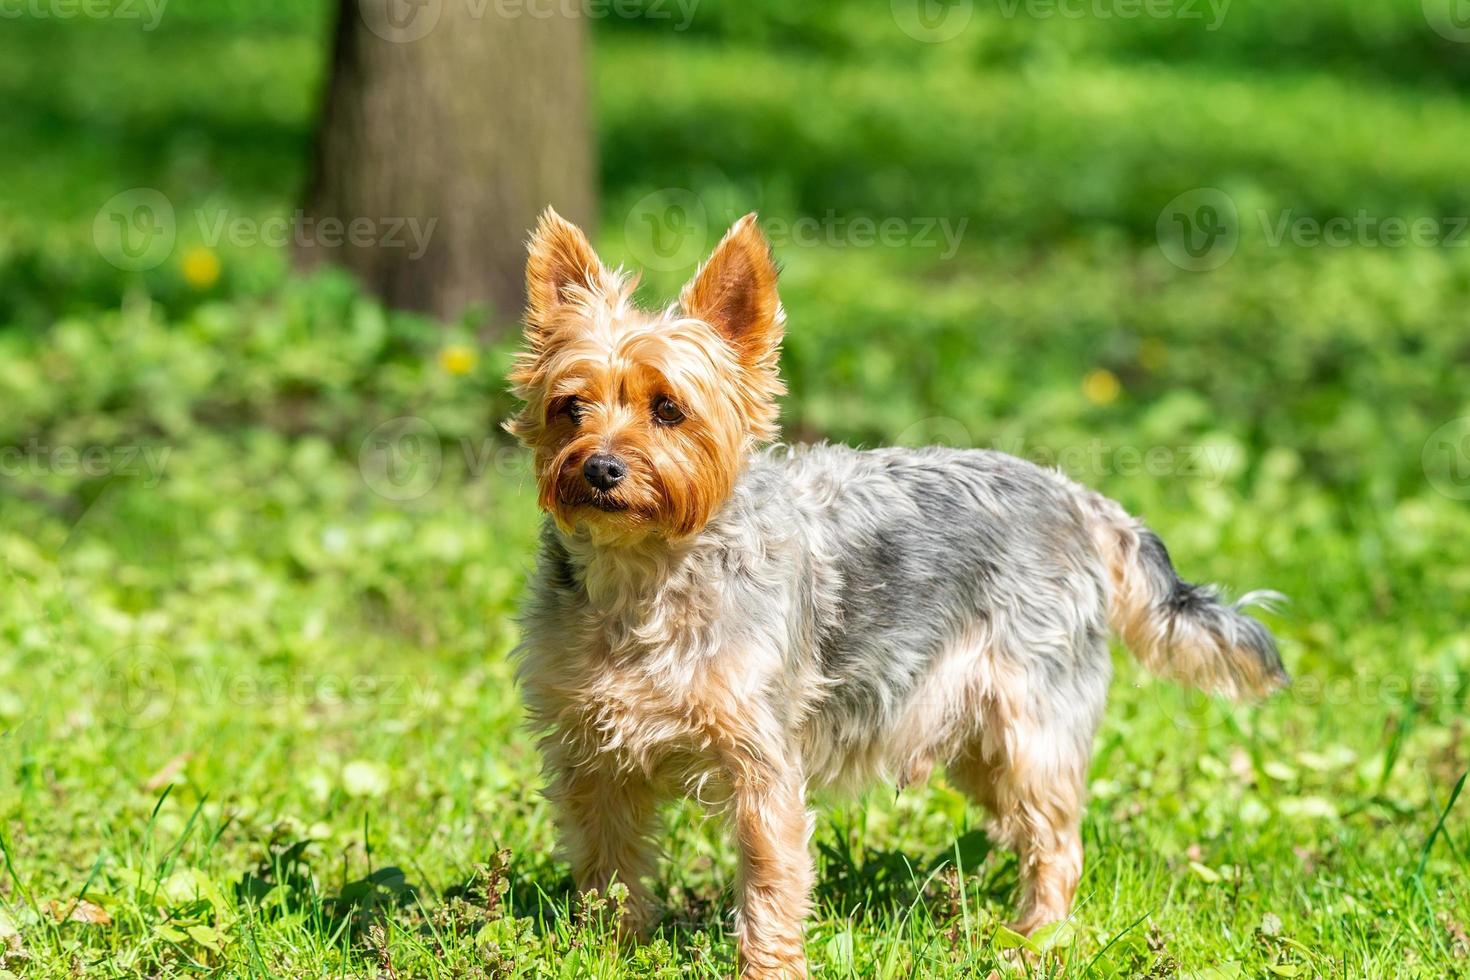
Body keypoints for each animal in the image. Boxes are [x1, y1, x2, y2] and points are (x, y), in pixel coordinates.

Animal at [508, 207, 1287, 975]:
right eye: (570, 407)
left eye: (669, 409)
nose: (601, 468)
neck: (642, 574)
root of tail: (1076, 497)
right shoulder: (590, 755)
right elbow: (605, 863)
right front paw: (607, 950)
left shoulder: (763, 762)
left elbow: (769, 881)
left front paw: (767, 967)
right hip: (979, 744)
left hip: (1032, 725)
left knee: (1057, 839)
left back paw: (1034, 941)